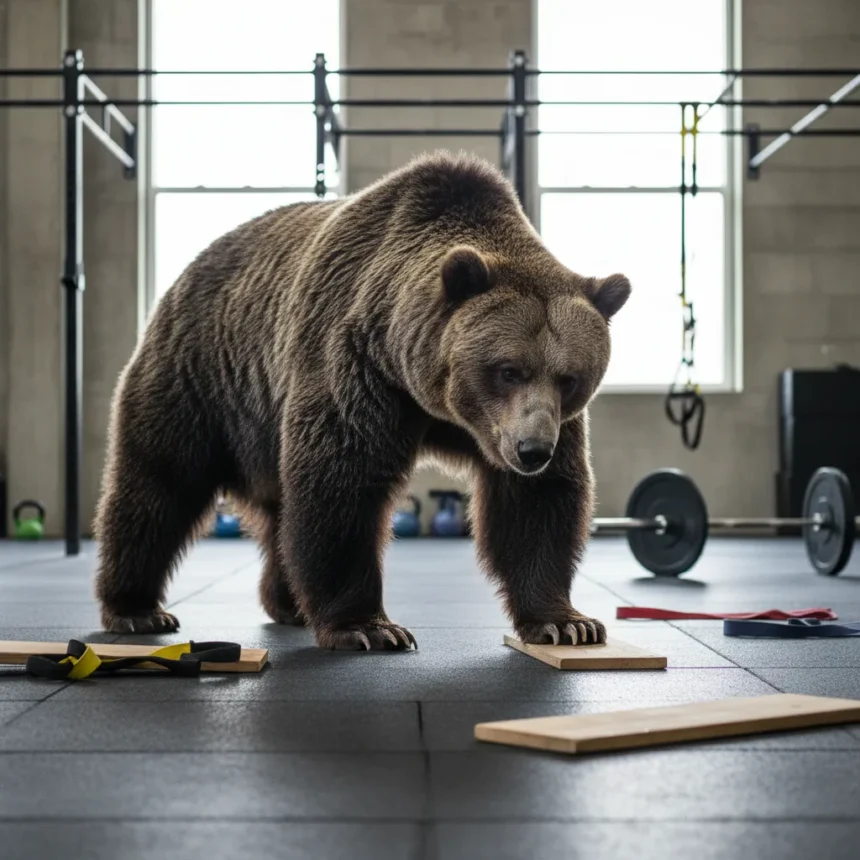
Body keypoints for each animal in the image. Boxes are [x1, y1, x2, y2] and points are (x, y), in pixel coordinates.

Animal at [93, 150, 631, 651]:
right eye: (508, 370)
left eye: (569, 378)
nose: (532, 450)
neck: (432, 397)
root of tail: (184, 276)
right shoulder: (356, 362)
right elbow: (342, 480)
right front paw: (368, 627)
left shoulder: (534, 424)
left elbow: (537, 503)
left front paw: (565, 622)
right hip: (205, 380)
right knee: (160, 483)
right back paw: (137, 608)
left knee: (276, 510)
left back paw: (287, 603)